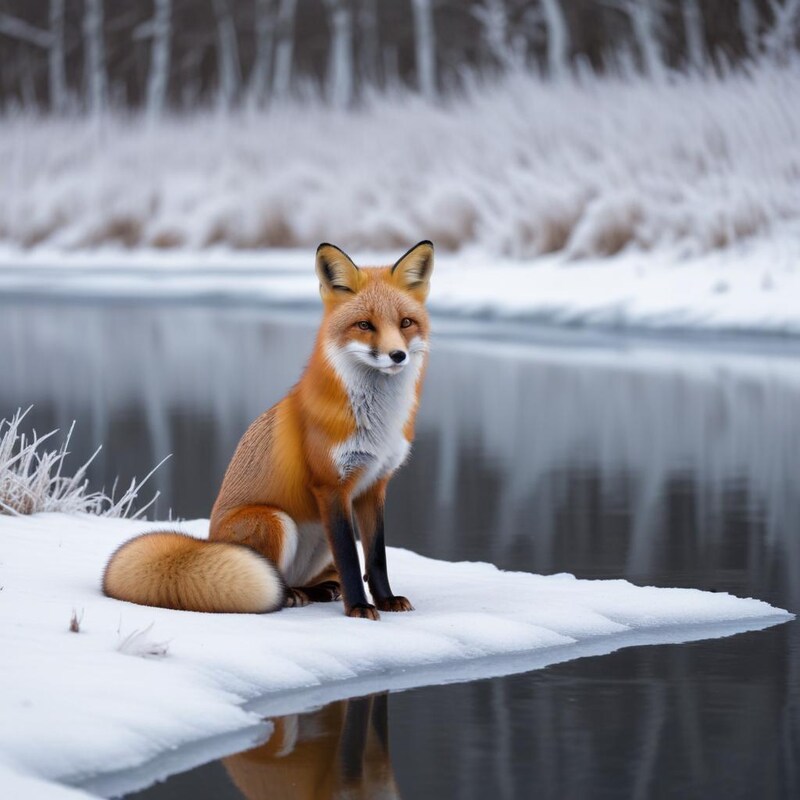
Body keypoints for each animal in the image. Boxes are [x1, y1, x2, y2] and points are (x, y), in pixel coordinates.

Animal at [102, 240, 434, 620]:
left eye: (406, 323)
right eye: (364, 325)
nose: (397, 355)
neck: (376, 422)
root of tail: (208, 541)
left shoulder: (374, 485)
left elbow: (376, 557)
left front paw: (385, 599)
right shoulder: (331, 486)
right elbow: (351, 560)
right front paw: (359, 608)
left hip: (316, 536)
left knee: (309, 577)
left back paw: (318, 589)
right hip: (275, 520)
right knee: (273, 580)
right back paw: (292, 595)